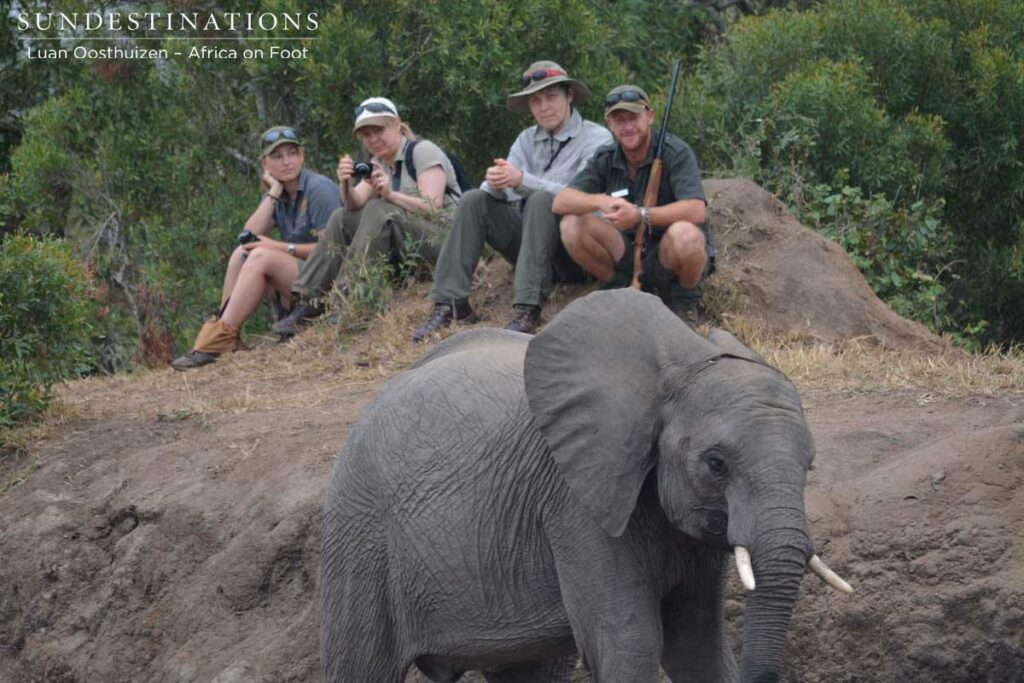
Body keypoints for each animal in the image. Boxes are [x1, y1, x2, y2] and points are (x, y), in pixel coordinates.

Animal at [321, 288, 851, 683]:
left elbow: (696, 647)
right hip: (361, 532)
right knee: (362, 665)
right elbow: (631, 642)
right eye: (716, 464)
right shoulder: (575, 500)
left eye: (809, 466)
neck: (683, 365)